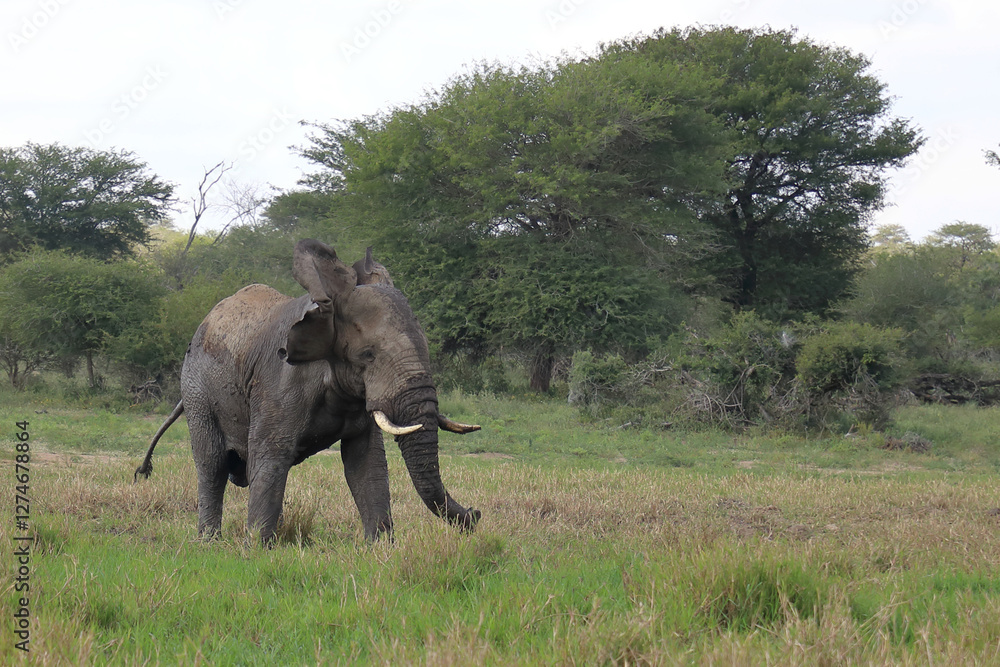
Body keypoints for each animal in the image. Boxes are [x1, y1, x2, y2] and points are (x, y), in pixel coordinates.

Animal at [135, 239, 481, 543]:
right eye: (368, 355)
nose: (475, 514)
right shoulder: (281, 381)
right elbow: (270, 457)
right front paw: (256, 549)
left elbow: (365, 464)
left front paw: (381, 548)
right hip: (197, 390)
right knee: (212, 464)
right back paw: (209, 542)